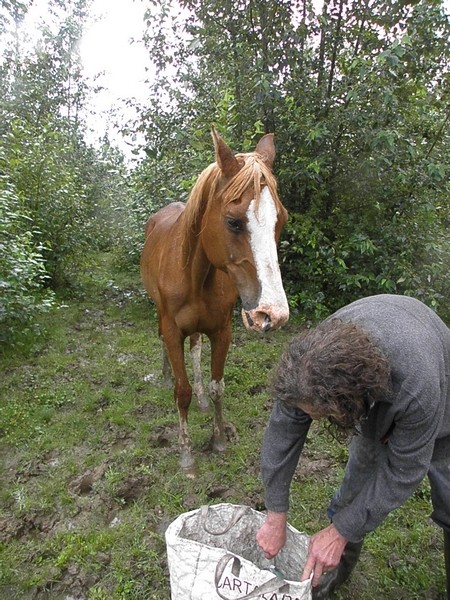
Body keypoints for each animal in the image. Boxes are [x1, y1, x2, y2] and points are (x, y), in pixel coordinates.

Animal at [139, 129, 290, 476]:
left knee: (195, 348)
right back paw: (165, 375)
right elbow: (181, 392)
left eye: (282, 221)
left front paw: (219, 438)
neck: (194, 274)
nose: (272, 313)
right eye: (233, 221)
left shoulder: (222, 332)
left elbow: (217, 386)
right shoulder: (172, 331)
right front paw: (186, 456)